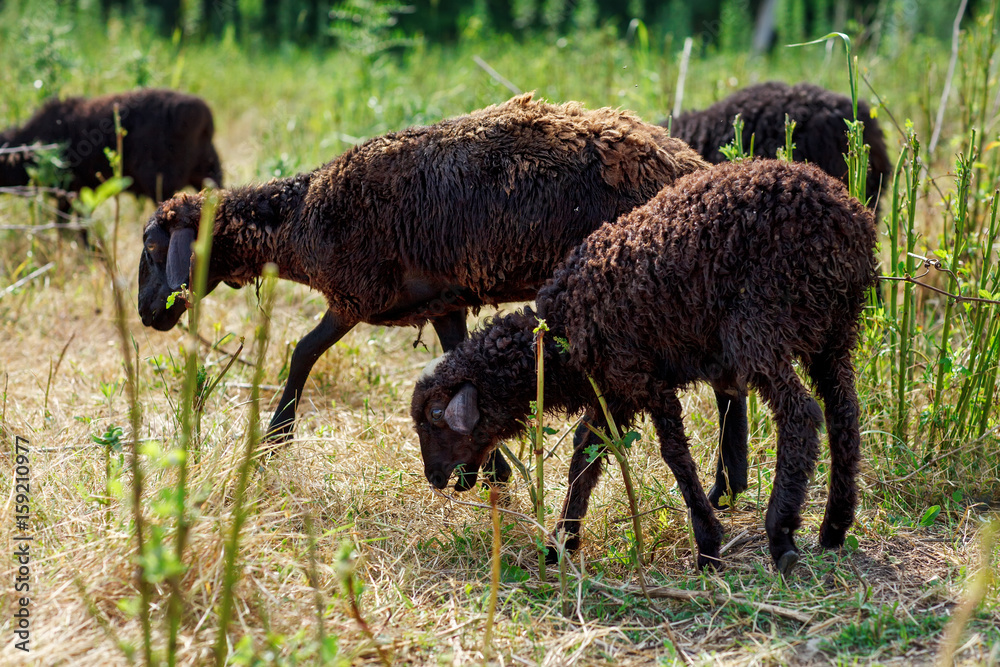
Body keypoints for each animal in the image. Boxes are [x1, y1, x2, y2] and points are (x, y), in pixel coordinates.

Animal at [137, 93, 750, 502]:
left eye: (151, 247)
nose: (146, 315)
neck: (300, 220)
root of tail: (687, 164)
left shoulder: (355, 295)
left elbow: (302, 353)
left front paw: (274, 440)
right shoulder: (443, 300)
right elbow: (456, 361)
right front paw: (489, 470)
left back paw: (724, 485)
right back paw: (729, 485)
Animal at [412, 159, 877, 575]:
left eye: (436, 415)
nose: (434, 478)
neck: (559, 336)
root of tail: (847, 219)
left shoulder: (643, 378)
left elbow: (673, 455)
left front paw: (708, 546)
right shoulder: (614, 392)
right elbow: (586, 456)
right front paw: (560, 543)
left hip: (760, 323)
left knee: (800, 414)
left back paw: (781, 533)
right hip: (834, 332)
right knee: (844, 415)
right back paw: (835, 526)